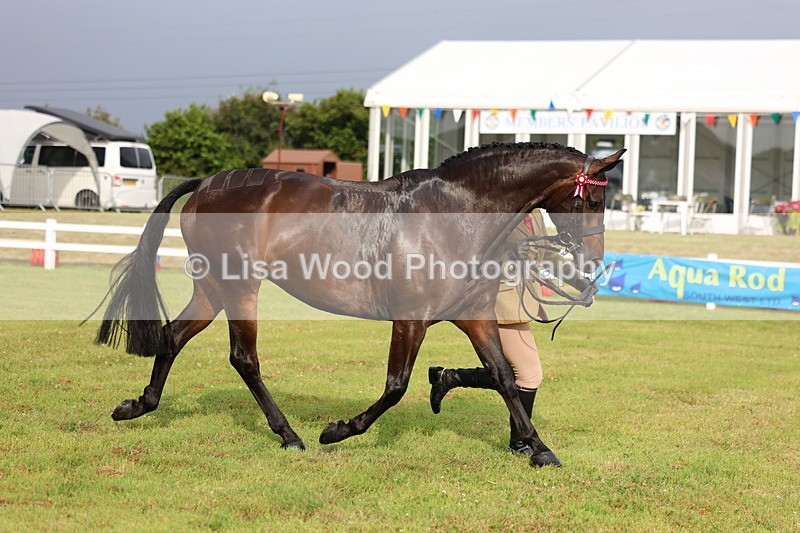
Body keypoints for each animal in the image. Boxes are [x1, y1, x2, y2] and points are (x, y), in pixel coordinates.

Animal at [94, 142, 624, 467]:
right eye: (592, 202)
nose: (594, 263)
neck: (453, 218)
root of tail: (206, 183)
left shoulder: (476, 317)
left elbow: (505, 378)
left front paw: (539, 449)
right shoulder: (410, 320)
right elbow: (396, 386)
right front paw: (340, 429)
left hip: (212, 289)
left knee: (172, 337)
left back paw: (138, 405)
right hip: (240, 287)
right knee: (244, 358)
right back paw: (290, 435)